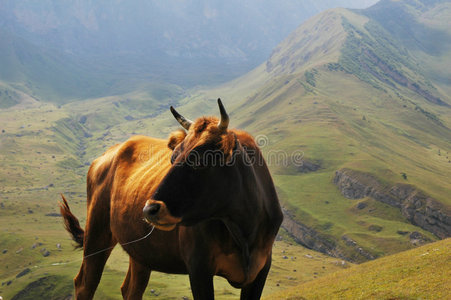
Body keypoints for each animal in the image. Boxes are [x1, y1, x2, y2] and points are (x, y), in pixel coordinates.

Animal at [60, 98, 282, 298]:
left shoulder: (261, 270)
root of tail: (110, 152)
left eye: (200, 160)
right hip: (96, 233)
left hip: (140, 250)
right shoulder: (199, 268)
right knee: (85, 284)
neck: (244, 232)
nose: (150, 209)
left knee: (131, 289)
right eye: (173, 157)